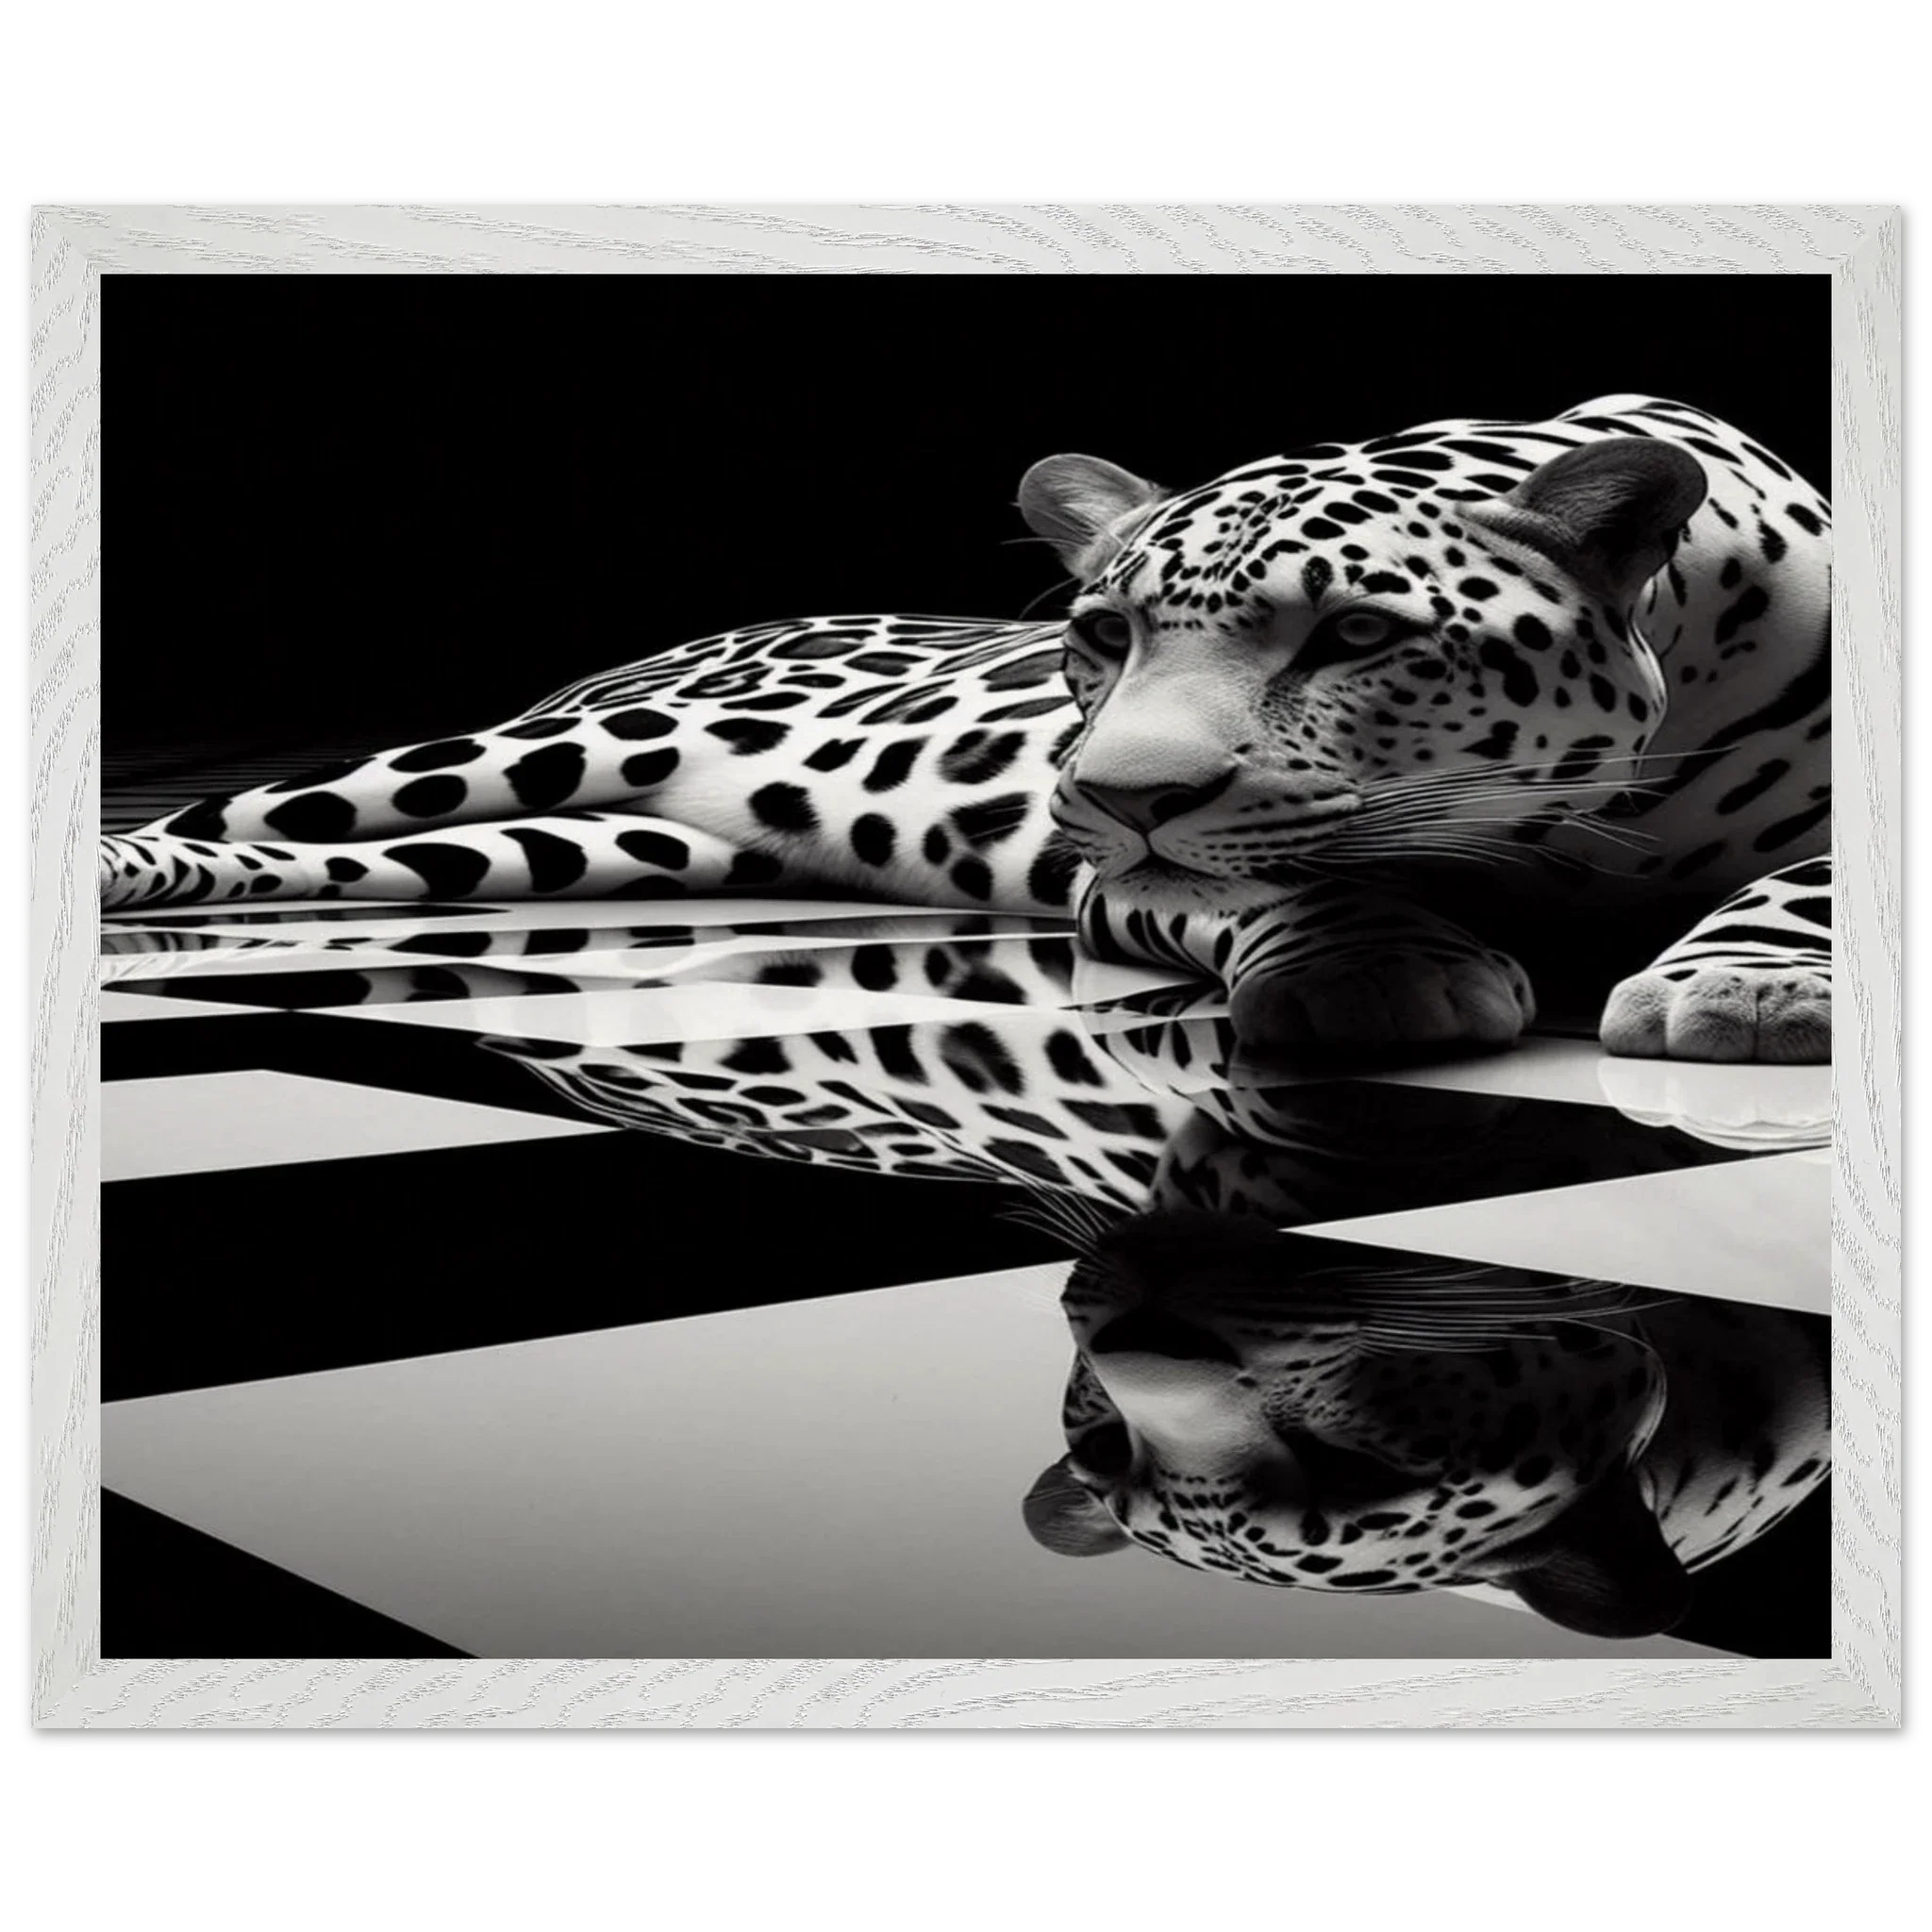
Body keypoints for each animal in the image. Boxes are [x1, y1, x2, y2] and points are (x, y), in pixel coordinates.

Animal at [98, 394, 1833, 1065]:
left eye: (1354, 635)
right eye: (1103, 635)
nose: (1115, 793)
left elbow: (1808, 879)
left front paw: (1746, 986)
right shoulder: (1131, 885)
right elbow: (1286, 879)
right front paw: (1377, 967)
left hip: (578, 844)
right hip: (529, 756)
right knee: (234, 816)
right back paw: (125, 879)